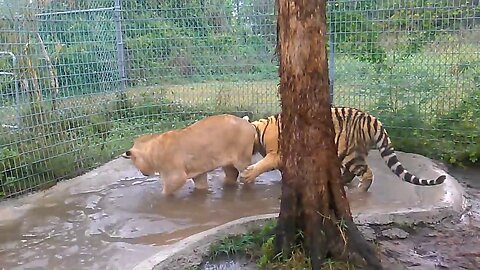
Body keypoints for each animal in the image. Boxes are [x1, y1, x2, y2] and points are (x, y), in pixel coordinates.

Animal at [240, 106, 446, 192]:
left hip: (348, 152)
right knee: (353, 172)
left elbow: (264, 164)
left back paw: (360, 190)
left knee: (366, 172)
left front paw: (248, 175)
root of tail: (372, 120)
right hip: (353, 151)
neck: (258, 132)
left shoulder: (278, 153)